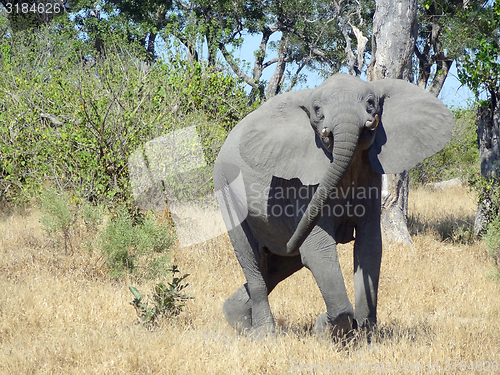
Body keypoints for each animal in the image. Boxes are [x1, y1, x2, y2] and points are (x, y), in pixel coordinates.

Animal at [213, 72, 456, 338]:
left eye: (370, 102)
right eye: (318, 110)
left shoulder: (370, 176)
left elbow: (370, 246)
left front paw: (365, 336)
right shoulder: (304, 187)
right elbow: (317, 249)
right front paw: (325, 328)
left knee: (280, 263)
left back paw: (236, 318)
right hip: (226, 189)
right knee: (254, 260)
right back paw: (264, 335)